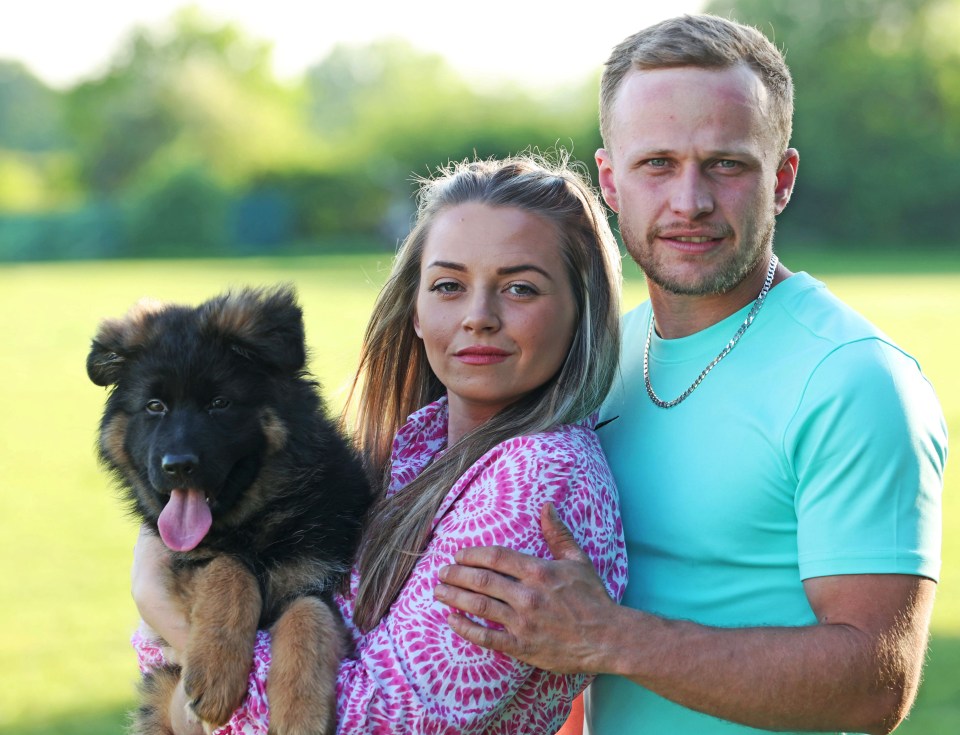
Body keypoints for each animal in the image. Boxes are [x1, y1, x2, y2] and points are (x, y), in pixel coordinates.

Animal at [88, 286, 372, 735]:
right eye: (154, 406)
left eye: (219, 403)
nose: (178, 466)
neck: (254, 524)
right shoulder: (184, 559)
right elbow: (228, 567)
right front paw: (217, 669)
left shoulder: (316, 575)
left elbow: (309, 615)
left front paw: (300, 712)